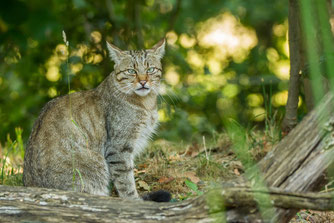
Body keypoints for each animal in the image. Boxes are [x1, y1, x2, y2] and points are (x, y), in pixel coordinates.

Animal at [23, 38, 171, 202]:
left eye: (150, 69)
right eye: (131, 71)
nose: (143, 81)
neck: (146, 103)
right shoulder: (118, 149)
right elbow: (126, 182)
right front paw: (134, 201)